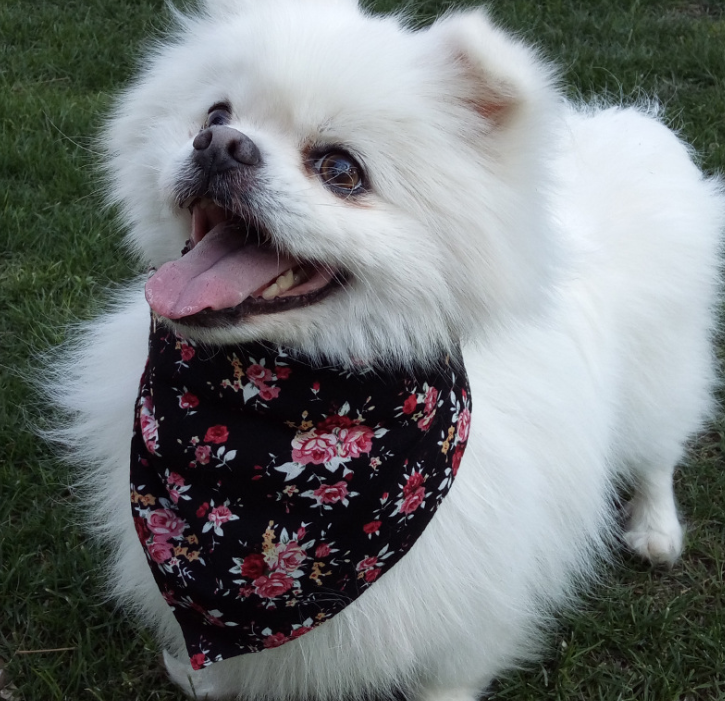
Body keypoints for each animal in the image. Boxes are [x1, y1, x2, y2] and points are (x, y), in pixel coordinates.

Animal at [52, 0, 724, 696]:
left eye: (341, 171)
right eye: (214, 114)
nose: (219, 145)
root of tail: (633, 125)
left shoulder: (482, 591)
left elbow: (451, 671)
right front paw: (200, 678)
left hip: (662, 377)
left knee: (657, 454)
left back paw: (655, 527)